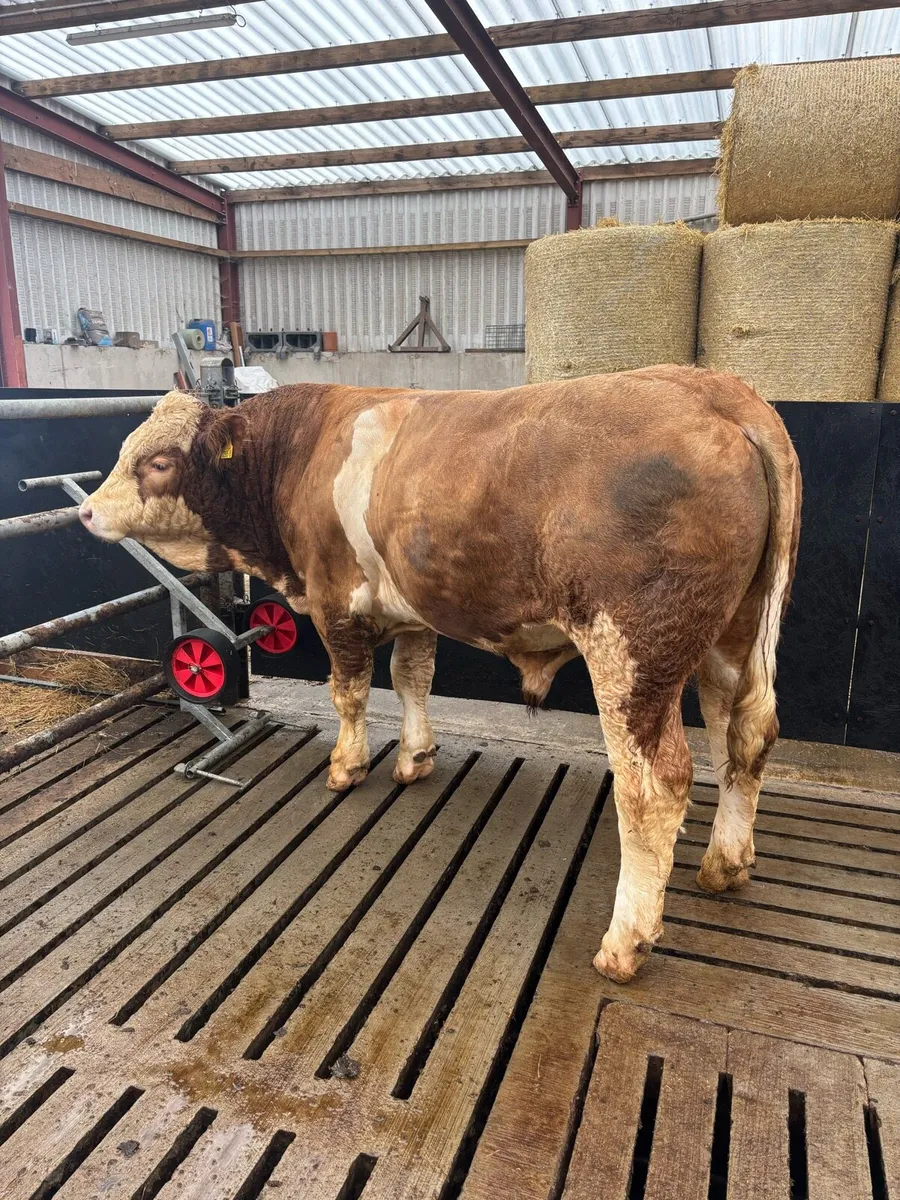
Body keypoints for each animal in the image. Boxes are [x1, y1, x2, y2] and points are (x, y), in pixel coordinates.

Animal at [79, 365, 801, 984]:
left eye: (158, 461)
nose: (87, 511)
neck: (296, 455)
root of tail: (715, 389)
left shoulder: (337, 602)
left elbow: (349, 693)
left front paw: (347, 767)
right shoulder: (412, 607)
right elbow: (412, 678)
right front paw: (415, 757)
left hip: (633, 651)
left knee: (656, 785)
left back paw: (625, 943)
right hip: (732, 638)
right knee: (742, 739)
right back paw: (725, 863)